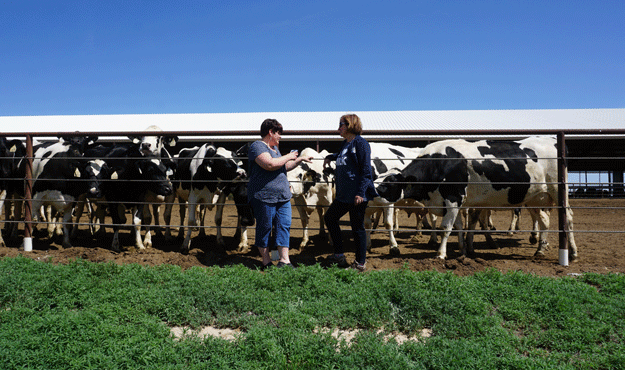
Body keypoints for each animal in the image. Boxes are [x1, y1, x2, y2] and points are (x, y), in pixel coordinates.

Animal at [372, 136, 576, 260]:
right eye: (377, 178)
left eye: (387, 184)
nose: (370, 191)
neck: (439, 163)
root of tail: (551, 139)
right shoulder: (453, 203)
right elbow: (459, 227)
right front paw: (462, 250)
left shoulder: (453, 198)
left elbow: (446, 228)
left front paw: (441, 254)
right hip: (536, 197)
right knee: (544, 221)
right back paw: (540, 249)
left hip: (558, 192)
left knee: (568, 219)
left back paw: (572, 253)